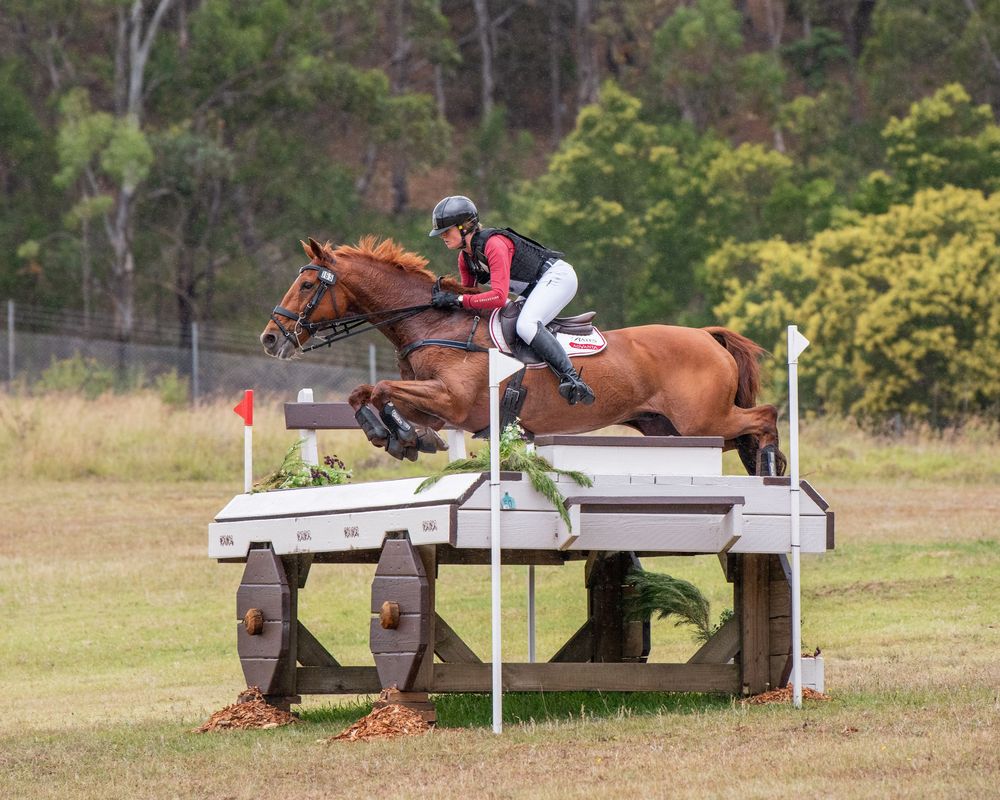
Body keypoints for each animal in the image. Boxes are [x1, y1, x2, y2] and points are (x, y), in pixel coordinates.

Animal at [259, 236, 787, 476]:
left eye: (307, 284)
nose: (269, 338)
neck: (433, 324)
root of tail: (706, 336)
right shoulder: (437, 401)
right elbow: (364, 392)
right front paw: (401, 436)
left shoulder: (454, 399)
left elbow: (383, 388)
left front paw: (405, 436)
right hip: (670, 430)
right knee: (742, 431)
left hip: (702, 420)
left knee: (763, 415)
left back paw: (769, 464)